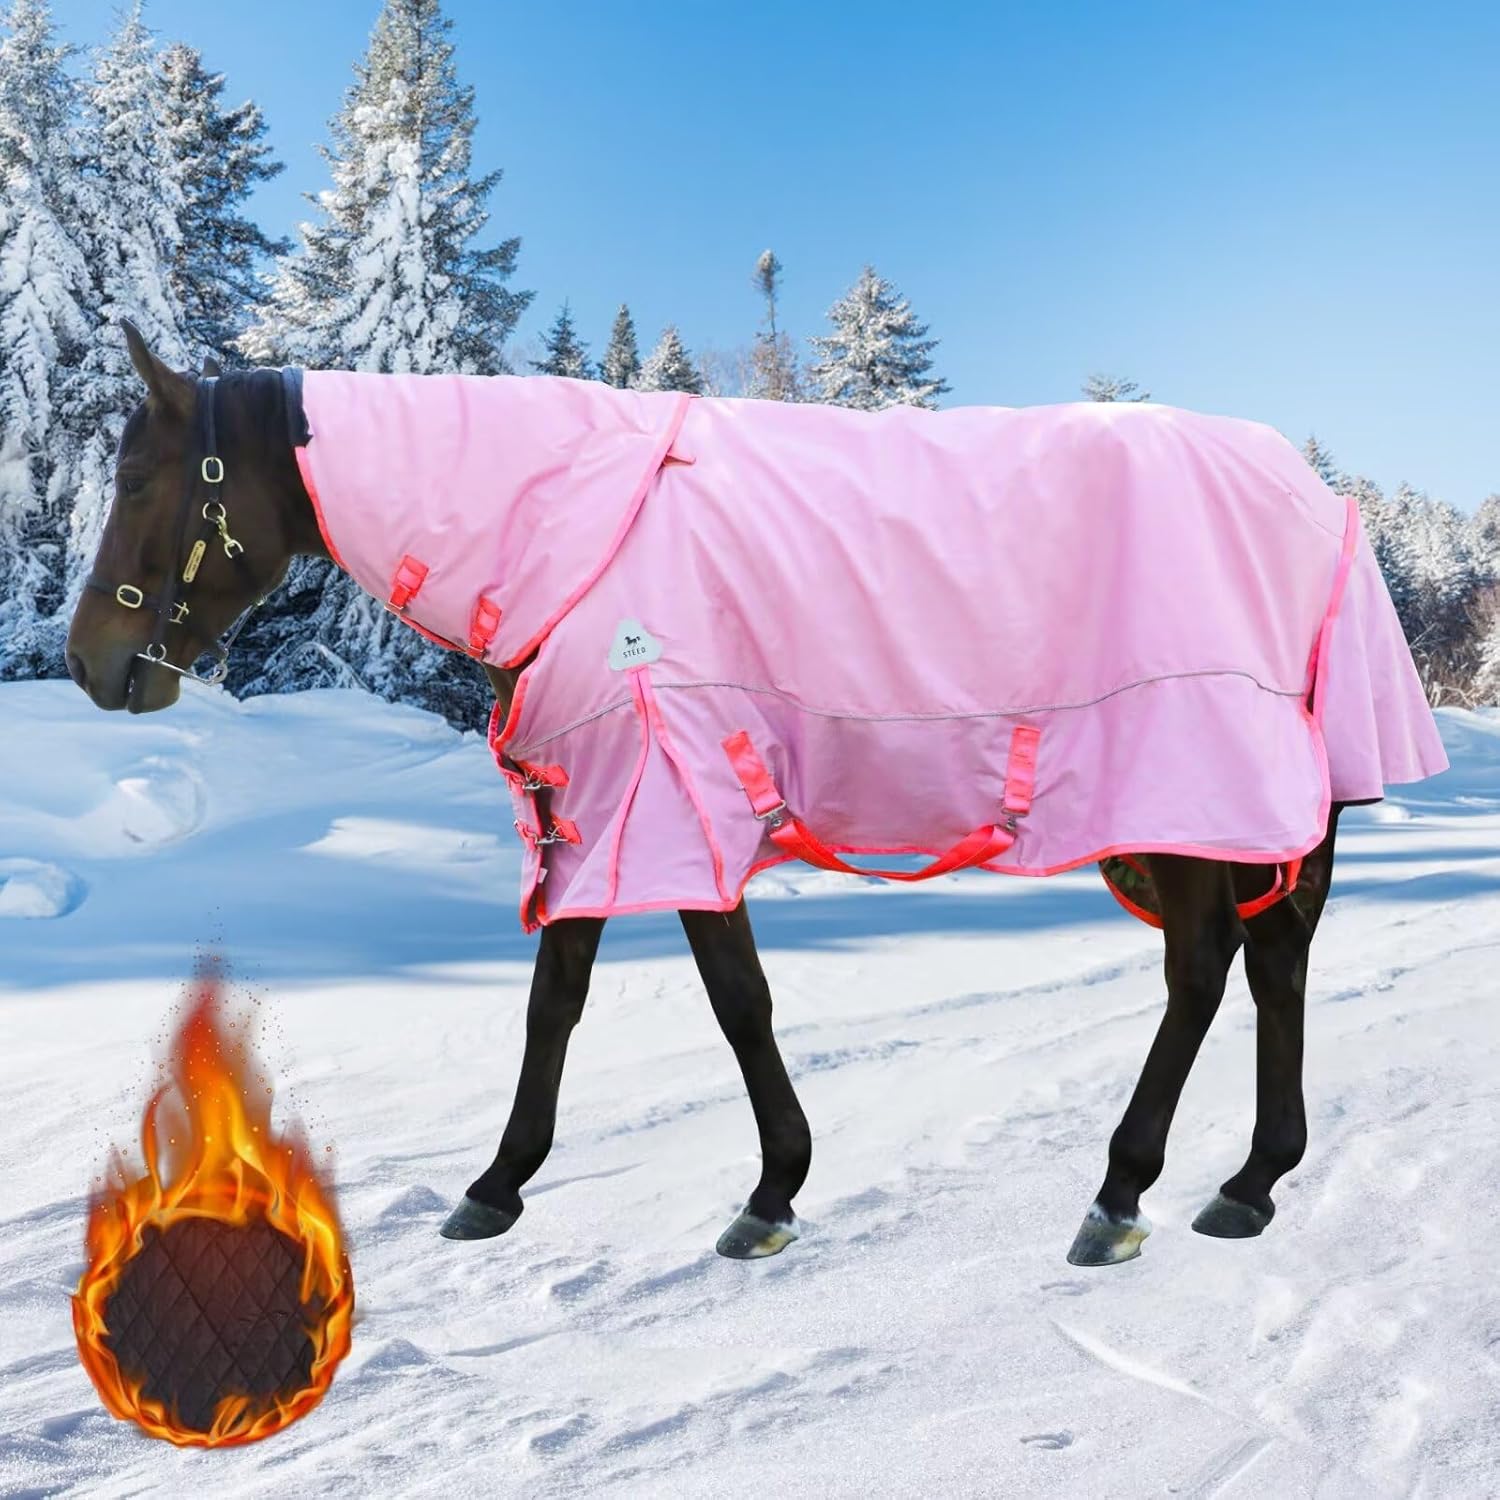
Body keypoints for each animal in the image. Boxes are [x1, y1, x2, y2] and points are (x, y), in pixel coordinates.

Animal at [65, 320, 1364, 1269]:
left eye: (138, 478)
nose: (85, 661)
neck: (579, 532)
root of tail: (1308, 497)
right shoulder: (594, 802)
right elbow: (563, 1000)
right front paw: (509, 1185)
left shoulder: (671, 790)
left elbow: (732, 1002)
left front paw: (766, 1189)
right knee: (1273, 958)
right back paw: (1252, 1180)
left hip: (1183, 793)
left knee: (1202, 967)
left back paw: (1122, 1189)